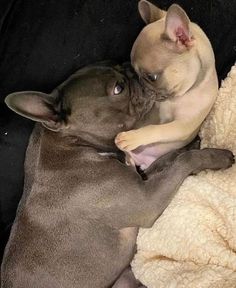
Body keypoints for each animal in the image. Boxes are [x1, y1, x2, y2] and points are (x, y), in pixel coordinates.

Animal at [115, 1, 218, 170]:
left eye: (152, 77)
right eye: (134, 70)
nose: (140, 85)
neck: (182, 94)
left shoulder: (182, 126)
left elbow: (158, 129)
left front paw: (133, 137)